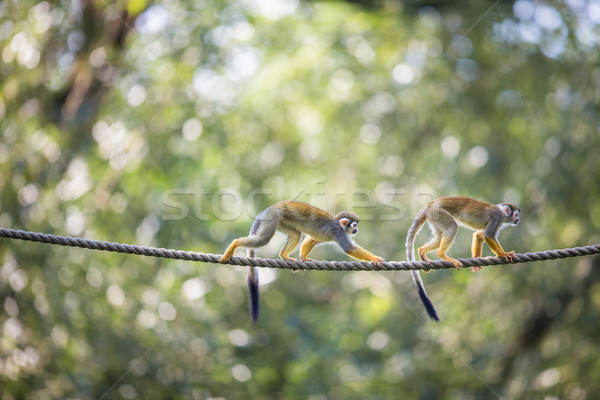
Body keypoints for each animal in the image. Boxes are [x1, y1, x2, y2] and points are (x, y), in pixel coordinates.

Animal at [220, 200, 384, 322]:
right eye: (354, 225)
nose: (356, 230)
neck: (340, 226)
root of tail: (269, 208)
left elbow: (311, 240)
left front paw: (304, 258)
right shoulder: (339, 233)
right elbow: (350, 249)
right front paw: (374, 258)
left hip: (281, 221)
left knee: (296, 235)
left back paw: (284, 256)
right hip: (272, 218)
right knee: (263, 239)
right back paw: (234, 244)